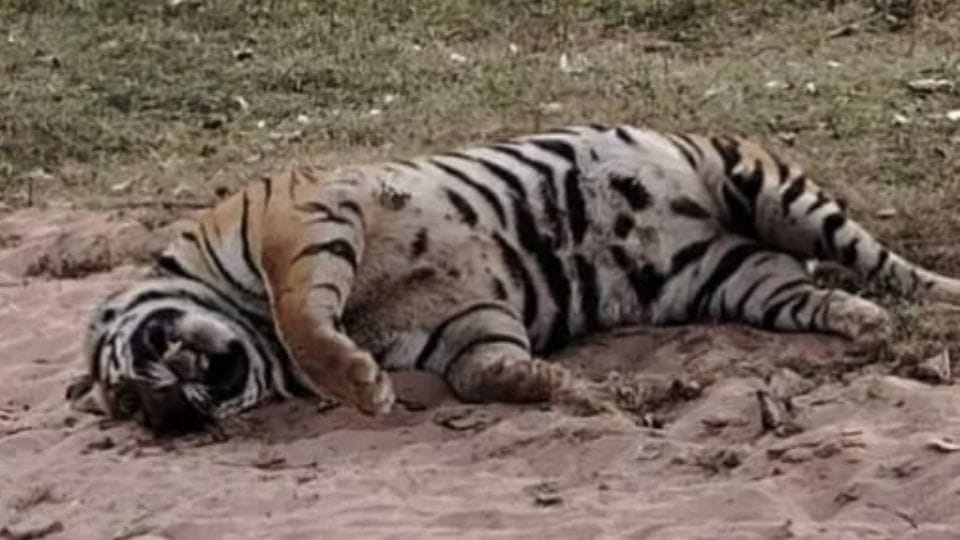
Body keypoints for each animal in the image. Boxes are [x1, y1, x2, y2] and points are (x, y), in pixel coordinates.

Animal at [66, 123, 960, 434]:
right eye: (137, 410)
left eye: (135, 379)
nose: (170, 411)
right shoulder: (460, 325)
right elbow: (488, 374)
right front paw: (588, 398)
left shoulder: (304, 220)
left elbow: (305, 316)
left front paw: (359, 386)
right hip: (735, 278)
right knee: (818, 292)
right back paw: (865, 325)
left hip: (770, 187)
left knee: (885, 262)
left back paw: (942, 303)